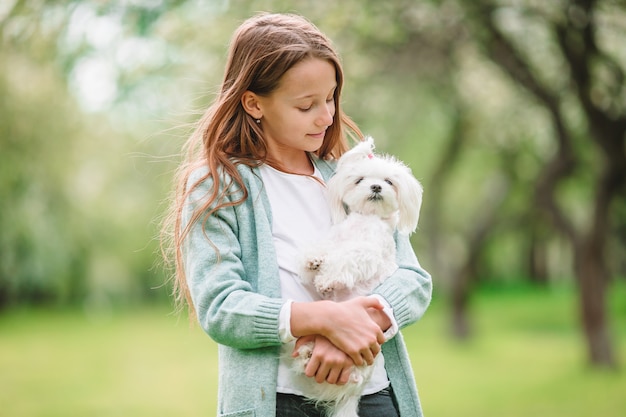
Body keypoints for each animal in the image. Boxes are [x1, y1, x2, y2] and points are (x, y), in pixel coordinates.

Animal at [294, 136, 424, 416]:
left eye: (389, 181)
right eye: (360, 179)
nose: (375, 186)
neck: (365, 221)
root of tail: (351, 393)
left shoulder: (367, 252)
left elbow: (345, 259)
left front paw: (325, 279)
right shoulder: (336, 237)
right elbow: (325, 247)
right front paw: (312, 261)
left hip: (361, 362)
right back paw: (307, 353)